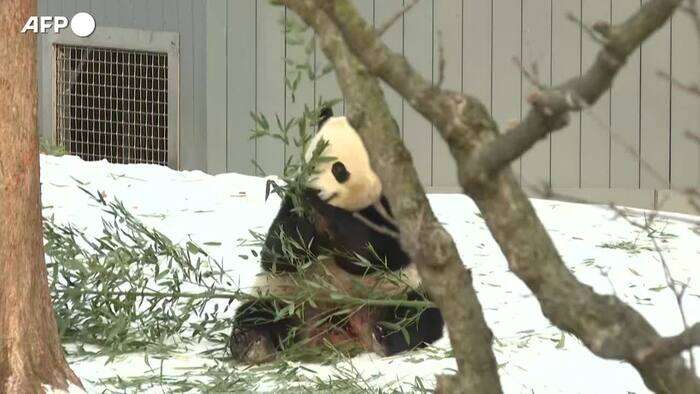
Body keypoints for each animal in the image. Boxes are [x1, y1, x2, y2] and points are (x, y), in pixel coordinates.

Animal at [232, 107, 446, 364]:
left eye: (339, 169)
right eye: (312, 163)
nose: (316, 191)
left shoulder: (392, 209)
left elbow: (374, 256)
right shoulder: (291, 203)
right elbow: (278, 254)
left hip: (397, 291)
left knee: (418, 316)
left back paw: (386, 333)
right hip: (285, 295)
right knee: (259, 313)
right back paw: (253, 342)